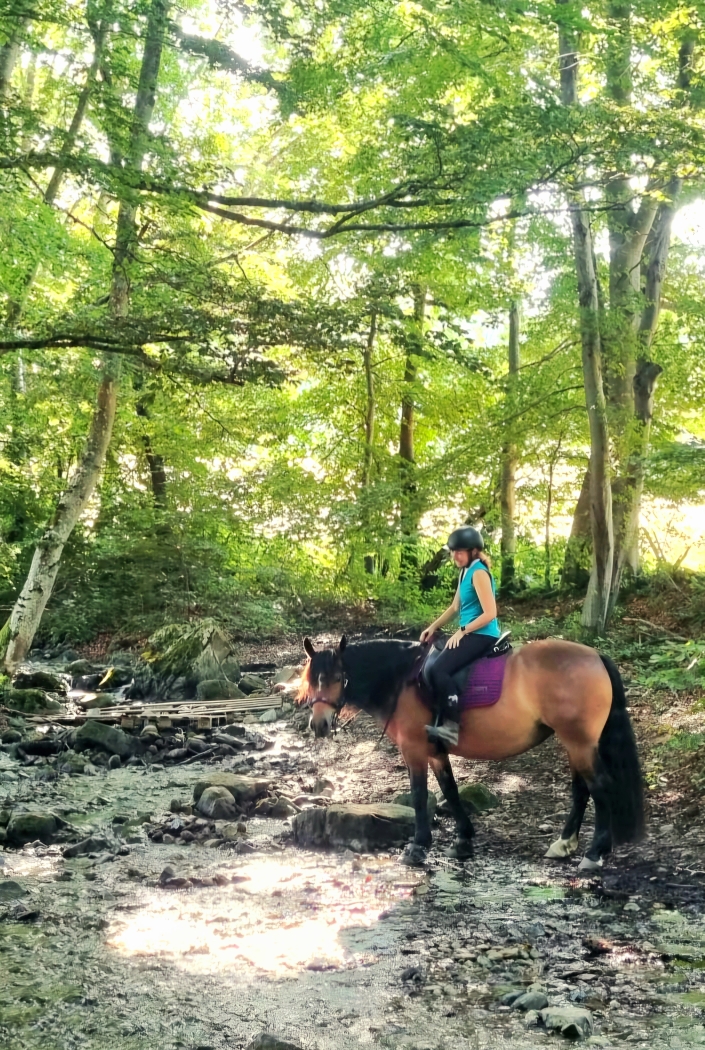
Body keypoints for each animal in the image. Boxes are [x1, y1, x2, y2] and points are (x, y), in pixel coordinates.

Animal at [297, 635, 644, 869]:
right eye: (312, 680)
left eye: (337, 678)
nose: (319, 725)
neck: (402, 679)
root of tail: (595, 656)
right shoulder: (435, 751)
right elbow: (450, 789)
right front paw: (463, 839)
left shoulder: (414, 749)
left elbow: (420, 795)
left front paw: (418, 847)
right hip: (575, 744)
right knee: (581, 790)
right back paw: (564, 843)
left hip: (580, 742)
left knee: (600, 788)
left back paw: (595, 852)